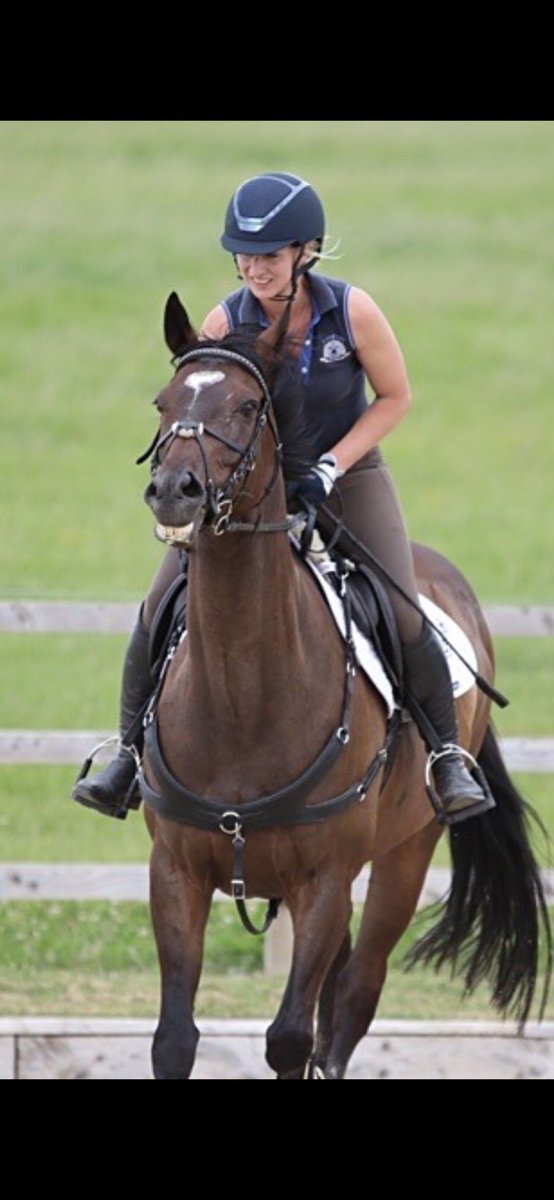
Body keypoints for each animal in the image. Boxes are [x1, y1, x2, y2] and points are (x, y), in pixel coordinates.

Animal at [137, 291, 551, 1080]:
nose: (175, 491)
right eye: (162, 401)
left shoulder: (325, 878)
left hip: (405, 854)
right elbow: (174, 1037)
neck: (241, 689)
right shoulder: (175, 869)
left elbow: (292, 1038)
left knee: (355, 994)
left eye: (246, 406)